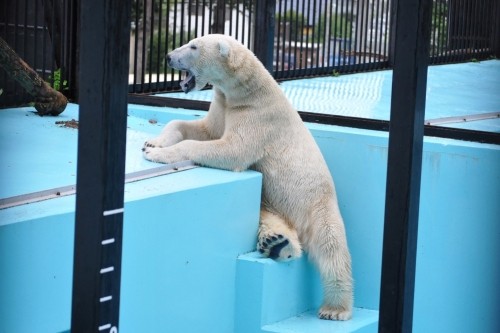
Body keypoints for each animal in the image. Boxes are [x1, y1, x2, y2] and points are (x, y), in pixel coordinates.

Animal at [143, 33, 354, 320]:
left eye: (194, 46)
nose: (168, 57)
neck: (247, 91)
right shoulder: (224, 105)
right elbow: (201, 129)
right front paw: (153, 143)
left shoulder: (256, 116)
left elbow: (231, 149)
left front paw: (157, 154)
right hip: (273, 202)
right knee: (270, 218)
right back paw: (277, 243)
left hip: (317, 204)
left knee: (331, 247)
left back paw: (335, 309)